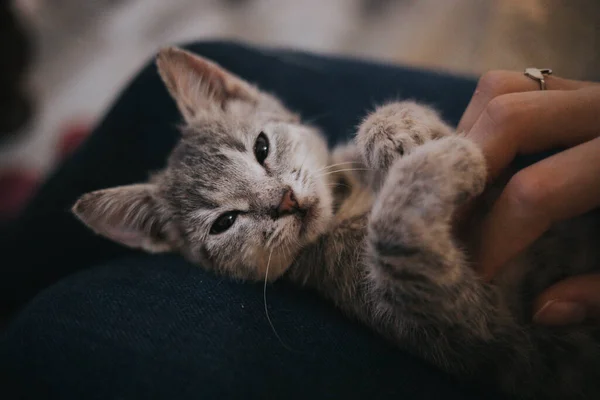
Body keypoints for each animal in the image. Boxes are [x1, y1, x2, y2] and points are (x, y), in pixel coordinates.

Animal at [71, 48, 600, 398]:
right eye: (224, 223)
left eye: (261, 147)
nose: (283, 201)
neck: (348, 202)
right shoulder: (475, 330)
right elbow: (394, 233)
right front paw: (448, 158)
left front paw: (400, 128)